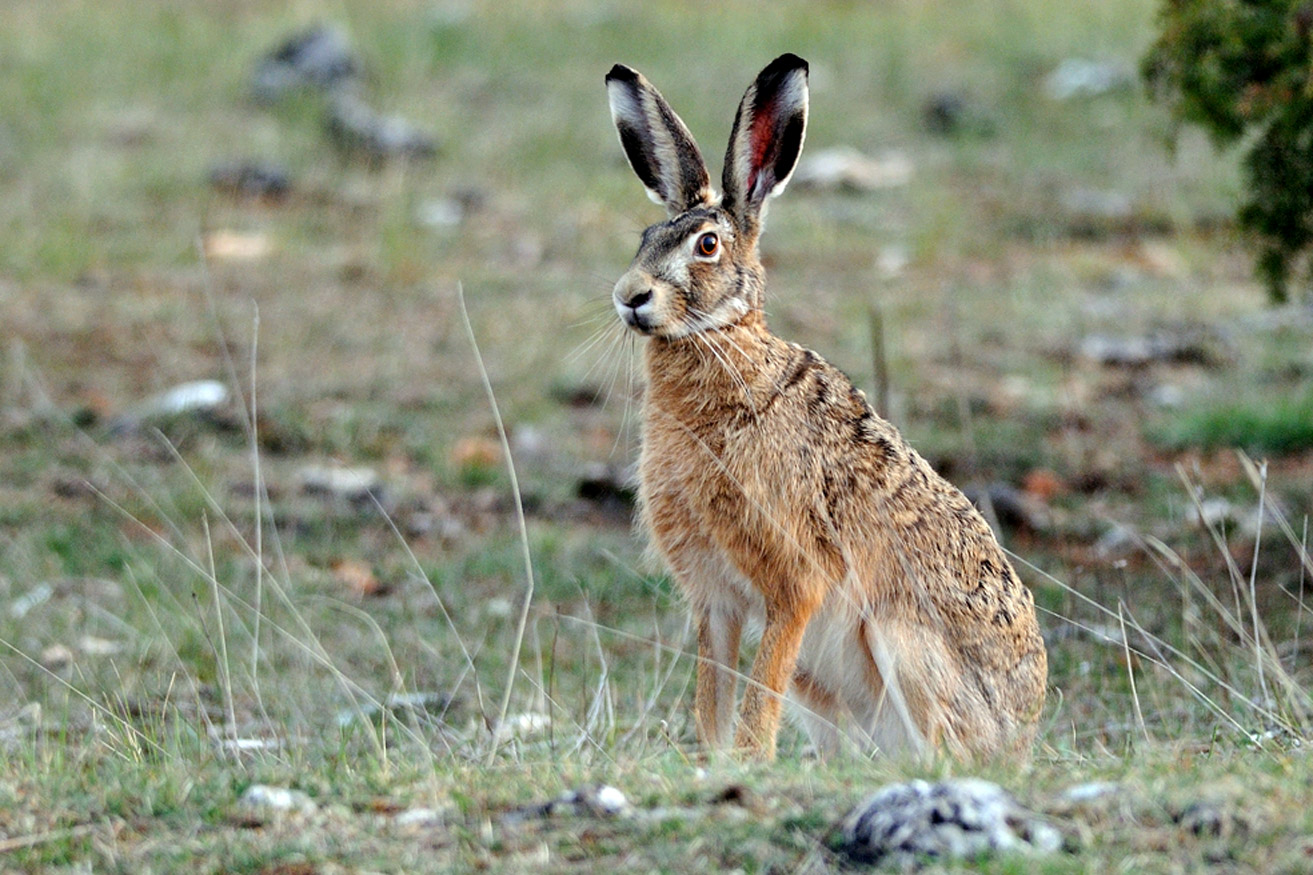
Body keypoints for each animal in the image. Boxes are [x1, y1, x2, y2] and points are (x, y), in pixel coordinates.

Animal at [604, 54, 1047, 762]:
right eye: (645, 237)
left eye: (707, 246)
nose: (630, 296)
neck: (726, 348)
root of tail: (1019, 738)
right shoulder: (715, 600)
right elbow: (712, 698)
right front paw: (712, 762)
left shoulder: (795, 581)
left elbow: (759, 694)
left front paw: (749, 762)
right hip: (822, 683)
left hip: (902, 643)